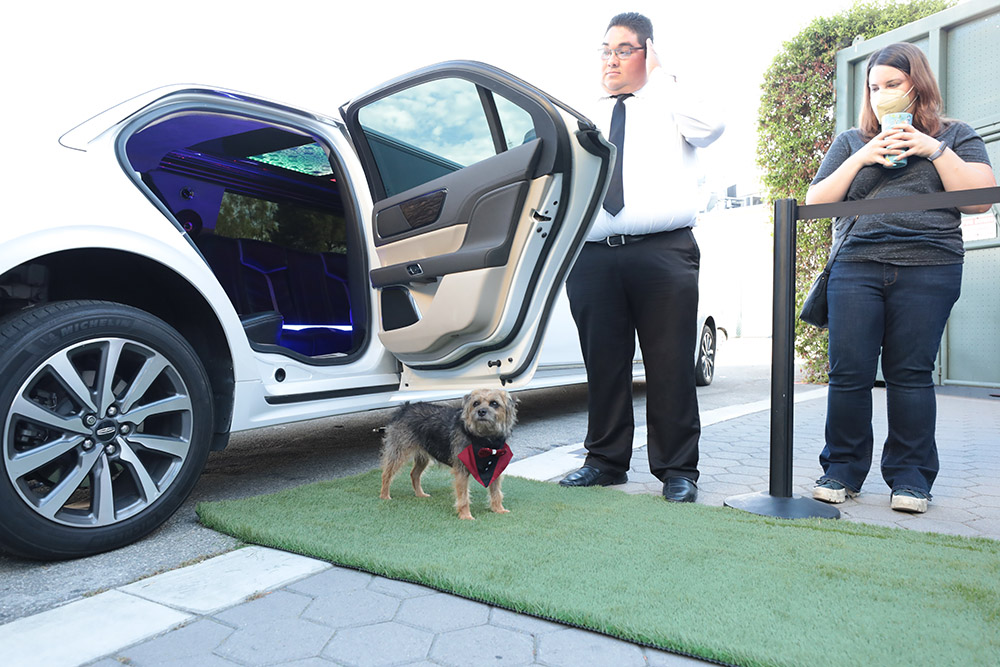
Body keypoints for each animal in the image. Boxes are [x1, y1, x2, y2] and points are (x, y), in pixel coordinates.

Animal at [376, 388, 516, 520]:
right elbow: (464, 496)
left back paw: (420, 494)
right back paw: (384, 495)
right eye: (476, 403)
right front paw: (465, 516)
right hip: (398, 452)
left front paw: (498, 509)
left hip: (423, 457)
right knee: (386, 474)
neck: (485, 439)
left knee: (414, 474)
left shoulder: (494, 468)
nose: (481, 411)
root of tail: (405, 407)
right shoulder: (461, 471)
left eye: (494, 403)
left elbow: (496, 491)